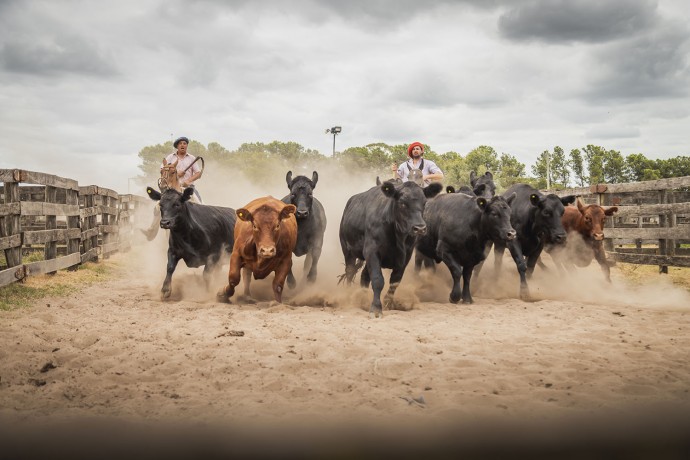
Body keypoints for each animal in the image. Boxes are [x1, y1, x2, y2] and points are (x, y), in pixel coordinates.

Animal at [338, 181, 440, 318]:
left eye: (424, 202)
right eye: (402, 203)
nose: (420, 228)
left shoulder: (405, 257)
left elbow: (395, 281)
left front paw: (388, 303)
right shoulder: (372, 251)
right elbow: (378, 280)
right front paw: (376, 308)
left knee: (364, 276)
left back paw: (363, 297)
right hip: (348, 251)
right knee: (349, 272)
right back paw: (349, 296)